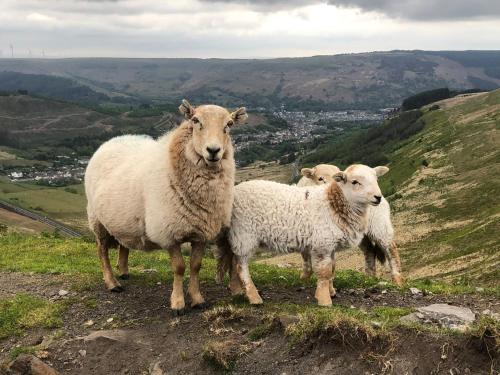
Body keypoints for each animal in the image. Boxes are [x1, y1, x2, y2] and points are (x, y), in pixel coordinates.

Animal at [86, 99, 250, 314]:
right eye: (195, 120)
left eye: (229, 124)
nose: (213, 151)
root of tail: (110, 142)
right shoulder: (169, 232)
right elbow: (179, 268)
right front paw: (178, 303)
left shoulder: (201, 232)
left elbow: (196, 265)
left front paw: (197, 299)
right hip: (97, 220)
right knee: (101, 250)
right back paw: (112, 283)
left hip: (123, 219)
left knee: (124, 244)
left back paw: (123, 271)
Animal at [218, 166, 386, 306]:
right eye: (354, 182)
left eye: (376, 179)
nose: (378, 197)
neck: (333, 203)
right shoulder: (322, 244)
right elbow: (324, 272)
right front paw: (324, 300)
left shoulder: (330, 244)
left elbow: (332, 269)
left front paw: (330, 292)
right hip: (244, 234)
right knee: (241, 266)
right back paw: (253, 297)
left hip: (237, 236)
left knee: (233, 262)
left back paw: (237, 291)